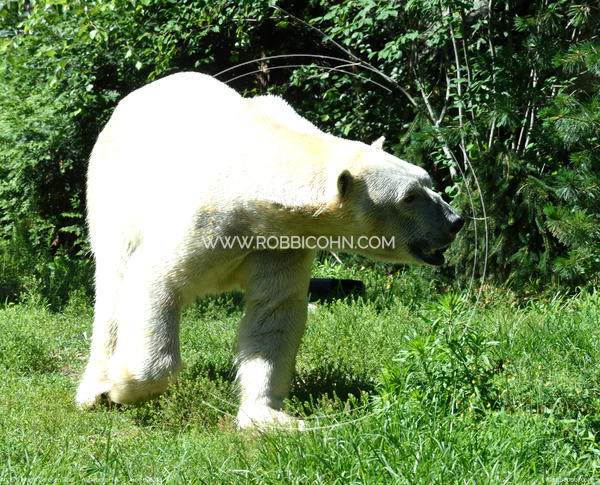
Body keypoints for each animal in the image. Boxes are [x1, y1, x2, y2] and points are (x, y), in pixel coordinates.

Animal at [76, 72, 464, 429]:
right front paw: (117, 389)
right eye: (409, 197)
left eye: (427, 181)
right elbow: (156, 279)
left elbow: (274, 313)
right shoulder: (206, 219)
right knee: (113, 284)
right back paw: (93, 388)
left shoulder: (282, 241)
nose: (455, 220)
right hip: (113, 193)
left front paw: (268, 417)